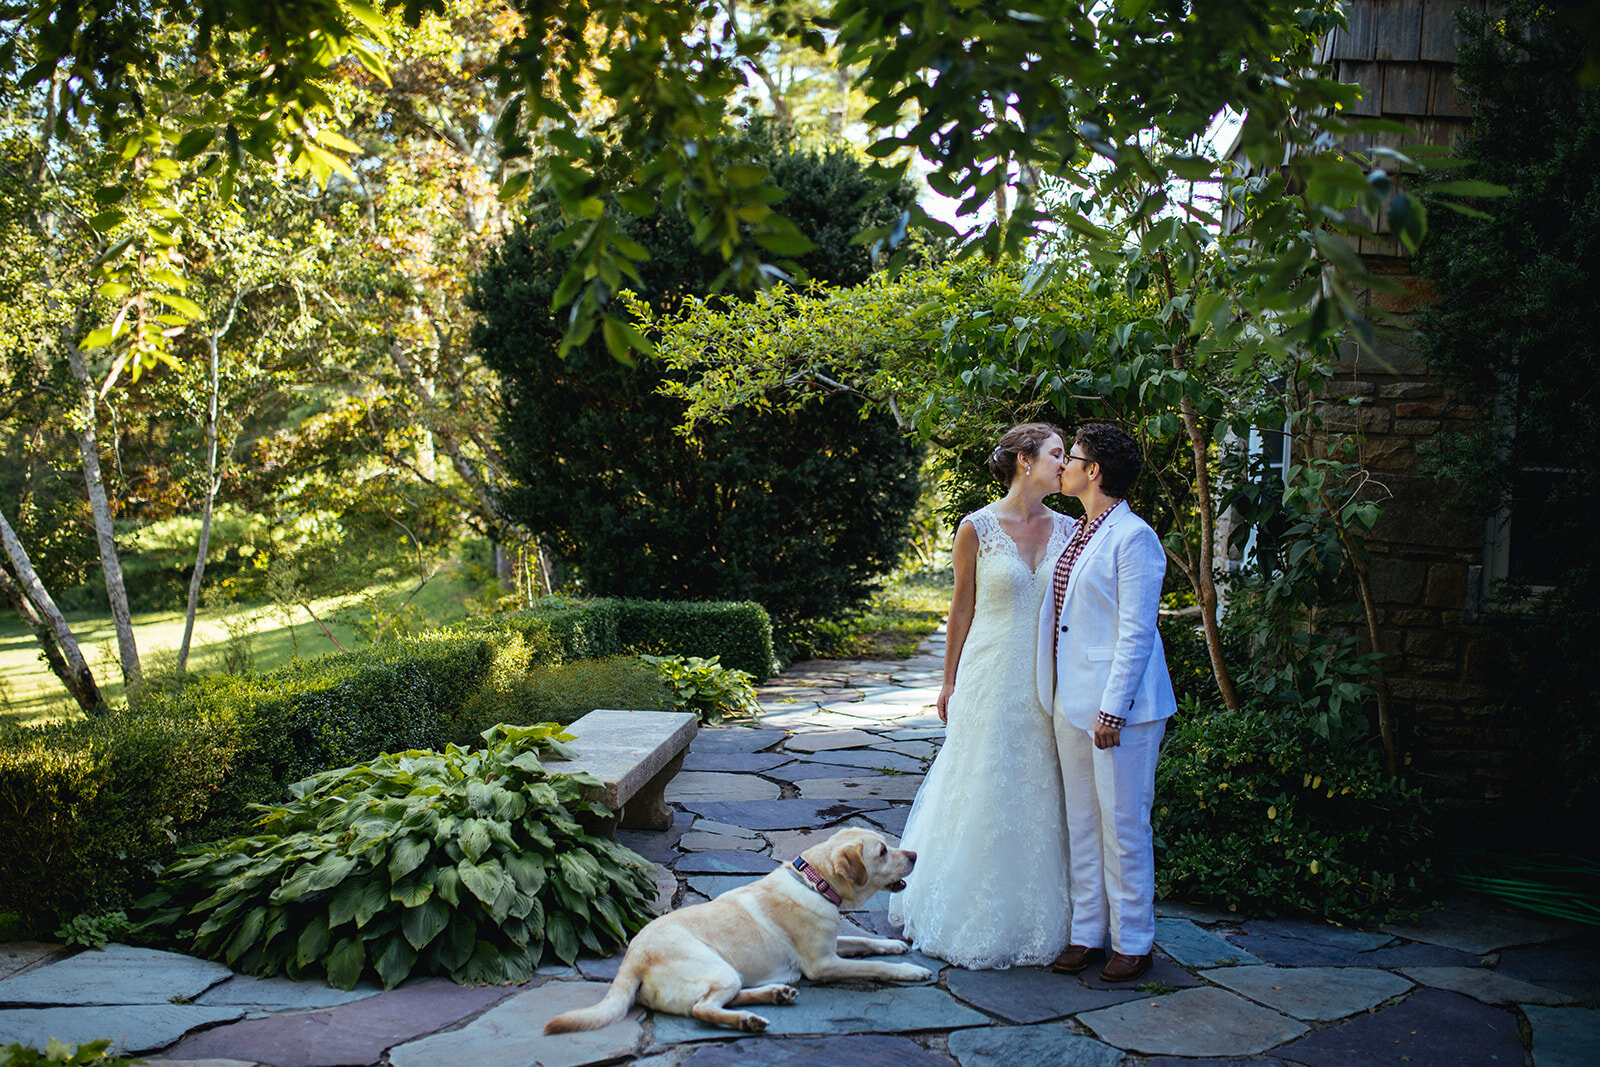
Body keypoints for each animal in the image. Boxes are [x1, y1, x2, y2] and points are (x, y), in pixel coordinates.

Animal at [547, 825, 928, 1036]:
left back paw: (774, 995)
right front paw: (910, 970)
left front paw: (894, 946)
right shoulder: (822, 964)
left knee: (715, 1000)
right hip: (717, 967)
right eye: (883, 851)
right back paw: (748, 1019)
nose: (915, 854)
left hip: (728, 972)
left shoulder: (832, 945)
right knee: (701, 1010)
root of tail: (632, 959)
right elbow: (874, 967)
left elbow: (864, 940)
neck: (813, 882)